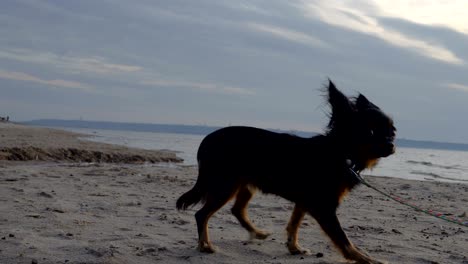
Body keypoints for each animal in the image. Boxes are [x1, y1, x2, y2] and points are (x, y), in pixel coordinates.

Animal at [177, 80, 396, 264]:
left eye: (392, 131)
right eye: (372, 132)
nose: (392, 144)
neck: (340, 152)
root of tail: (207, 140)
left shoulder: (306, 200)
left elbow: (294, 224)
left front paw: (294, 247)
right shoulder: (323, 207)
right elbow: (344, 240)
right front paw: (366, 259)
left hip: (243, 184)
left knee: (236, 210)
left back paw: (257, 233)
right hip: (226, 185)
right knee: (202, 214)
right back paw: (205, 246)